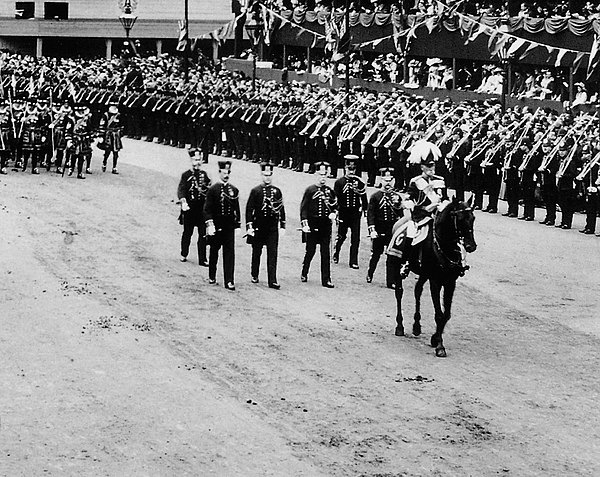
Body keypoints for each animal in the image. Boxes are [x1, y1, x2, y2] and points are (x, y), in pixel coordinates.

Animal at [390, 195, 478, 356]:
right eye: (460, 218)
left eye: (473, 217)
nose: (471, 246)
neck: (444, 247)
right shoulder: (435, 281)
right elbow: (439, 314)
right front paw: (440, 346)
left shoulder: (450, 282)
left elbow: (446, 314)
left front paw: (435, 338)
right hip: (396, 264)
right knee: (399, 292)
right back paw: (400, 326)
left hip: (423, 274)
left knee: (417, 291)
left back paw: (416, 326)